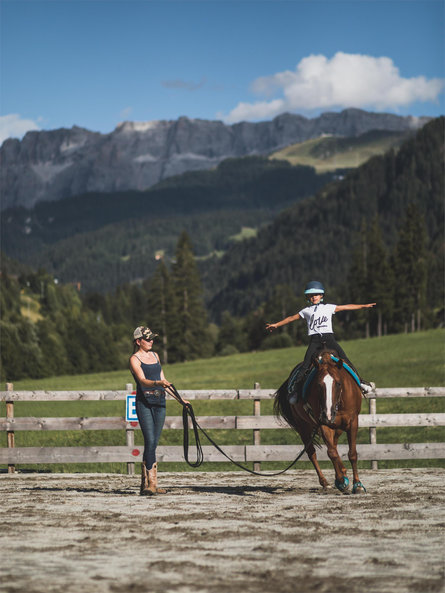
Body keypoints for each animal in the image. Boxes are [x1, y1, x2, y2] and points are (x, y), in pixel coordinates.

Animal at [276, 350, 366, 492]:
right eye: (318, 385)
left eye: (338, 383)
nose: (328, 414)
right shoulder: (324, 424)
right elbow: (332, 453)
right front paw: (341, 480)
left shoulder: (353, 422)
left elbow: (352, 454)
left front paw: (357, 485)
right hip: (303, 428)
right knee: (312, 453)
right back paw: (326, 482)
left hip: (337, 428)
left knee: (334, 445)